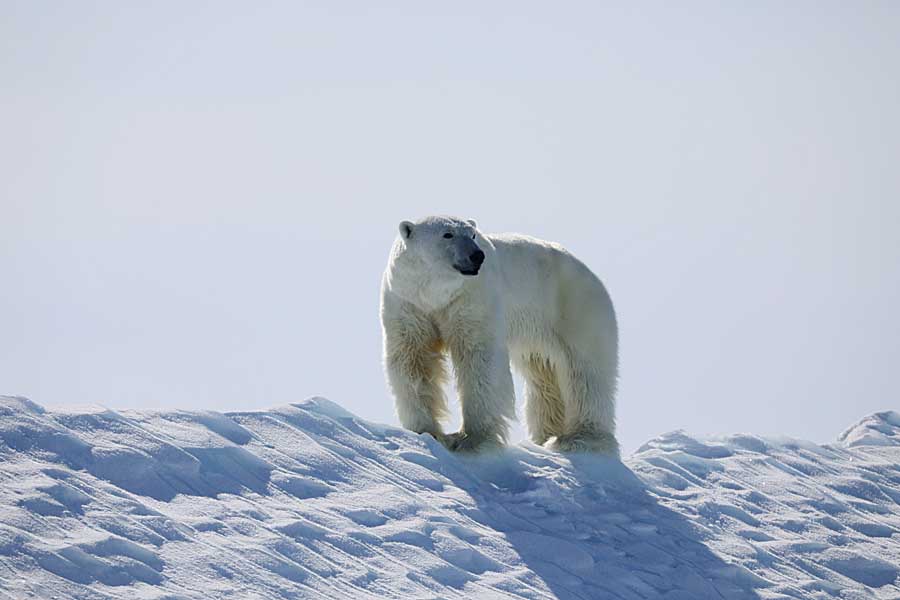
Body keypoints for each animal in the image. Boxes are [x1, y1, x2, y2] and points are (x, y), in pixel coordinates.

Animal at [380, 217, 620, 454]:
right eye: (447, 234)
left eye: (472, 234)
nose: (477, 255)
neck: (434, 294)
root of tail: (590, 273)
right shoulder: (407, 301)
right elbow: (412, 358)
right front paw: (428, 432)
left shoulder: (472, 298)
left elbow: (479, 358)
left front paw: (472, 439)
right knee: (543, 374)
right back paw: (546, 436)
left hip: (575, 308)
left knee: (585, 371)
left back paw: (578, 438)